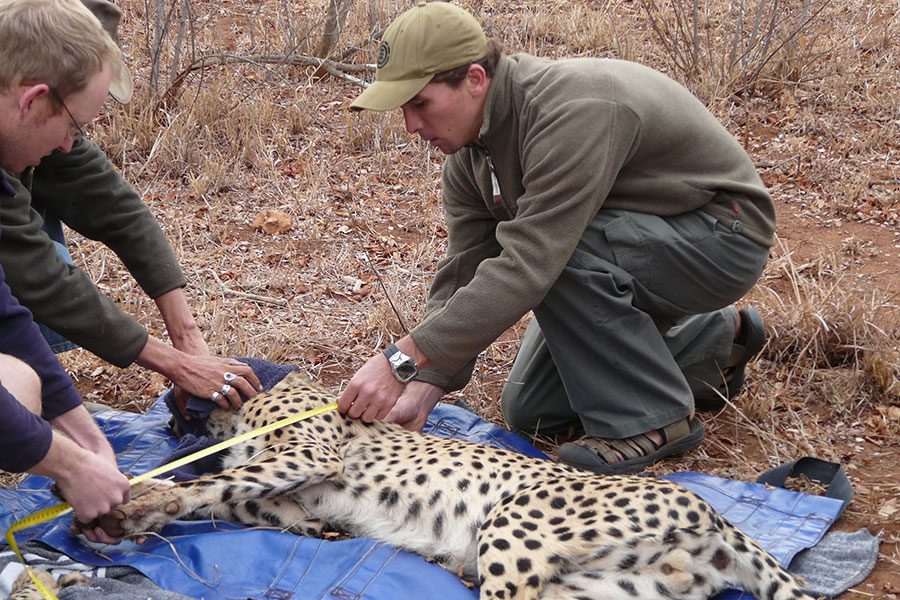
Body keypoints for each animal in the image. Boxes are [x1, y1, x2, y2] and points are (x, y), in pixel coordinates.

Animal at [91, 372, 816, 600]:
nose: (173, 414)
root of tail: (711, 511)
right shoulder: (285, 484)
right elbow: (243, 498)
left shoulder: (310, 453)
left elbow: (224, 484)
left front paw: (133, 504)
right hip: (599, 591)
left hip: (513, 528)